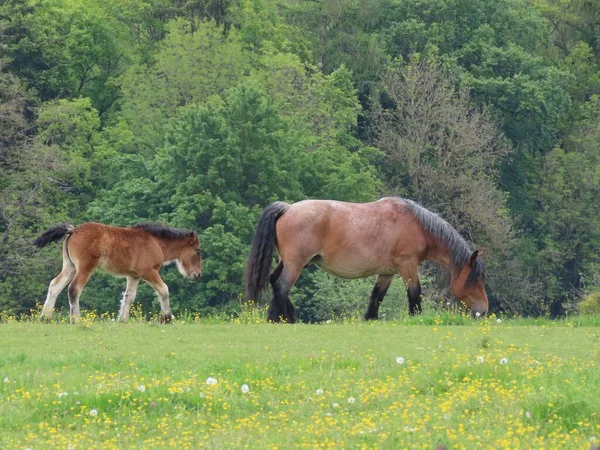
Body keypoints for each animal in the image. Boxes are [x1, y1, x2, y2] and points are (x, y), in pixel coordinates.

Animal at [35, 222, 202, 324]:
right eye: (198, 251)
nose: (198, 275)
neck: (156, 243)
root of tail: (73, 230)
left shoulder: (134, 276)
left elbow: (129, 297)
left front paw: (123, 320)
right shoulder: (148, 272)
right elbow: (164, 290)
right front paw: (167, 318)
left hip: (70, 267)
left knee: (55, 286)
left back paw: (45, 318)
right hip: (85, 268)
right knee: (74, 289)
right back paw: (76, 320)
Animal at [246, 199, 490, 322]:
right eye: (474, 280)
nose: (484, 310)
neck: (417, 225)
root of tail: (288, 208)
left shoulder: (387, 271)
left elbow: (377, 296)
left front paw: (370, 318)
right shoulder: (407, 266)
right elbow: (415, 293)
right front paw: (417, 318)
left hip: (288, 262)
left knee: (274, 281)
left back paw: (288, 316)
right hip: (295, 264)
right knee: (282, 286)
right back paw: (276, 318)